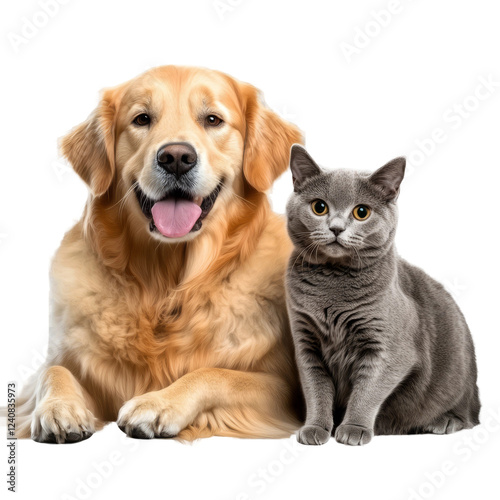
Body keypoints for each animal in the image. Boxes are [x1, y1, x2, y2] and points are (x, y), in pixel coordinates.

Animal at [286, 145, 480, 446]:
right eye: (319, 207)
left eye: (361, 212)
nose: (336, 228)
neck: (332, 285)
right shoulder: (306, 343)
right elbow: (316, 389)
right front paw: (315, 428)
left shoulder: (389, 350)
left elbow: (368, 390)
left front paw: (353, 428)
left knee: (468, 415)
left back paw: (444, 422)